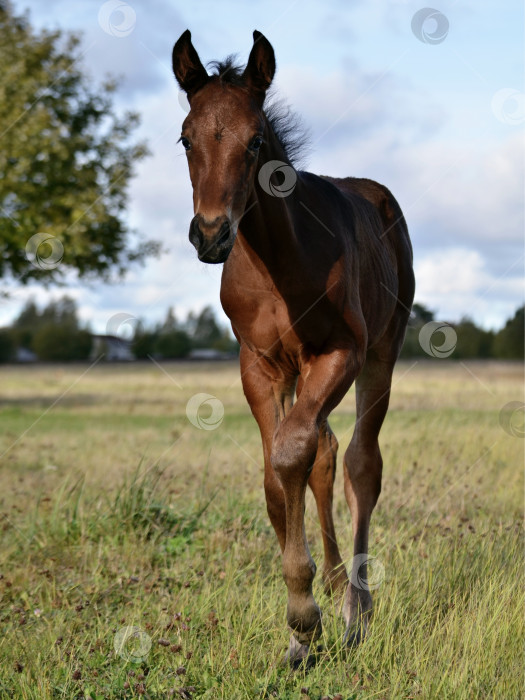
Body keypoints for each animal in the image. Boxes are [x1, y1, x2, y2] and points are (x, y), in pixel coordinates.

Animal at [172, 28, 414, 660]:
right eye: (185, 138)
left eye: (256, 140)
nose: (211, 234)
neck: (280, 259)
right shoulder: (259, 365)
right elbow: (275, 475)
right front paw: (301, 629)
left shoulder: (339, 352)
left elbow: (290, 455)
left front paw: (306, 616)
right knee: (323, 453)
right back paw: (332, 581)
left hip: (384, 350)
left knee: (359, 461)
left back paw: (356, 608)